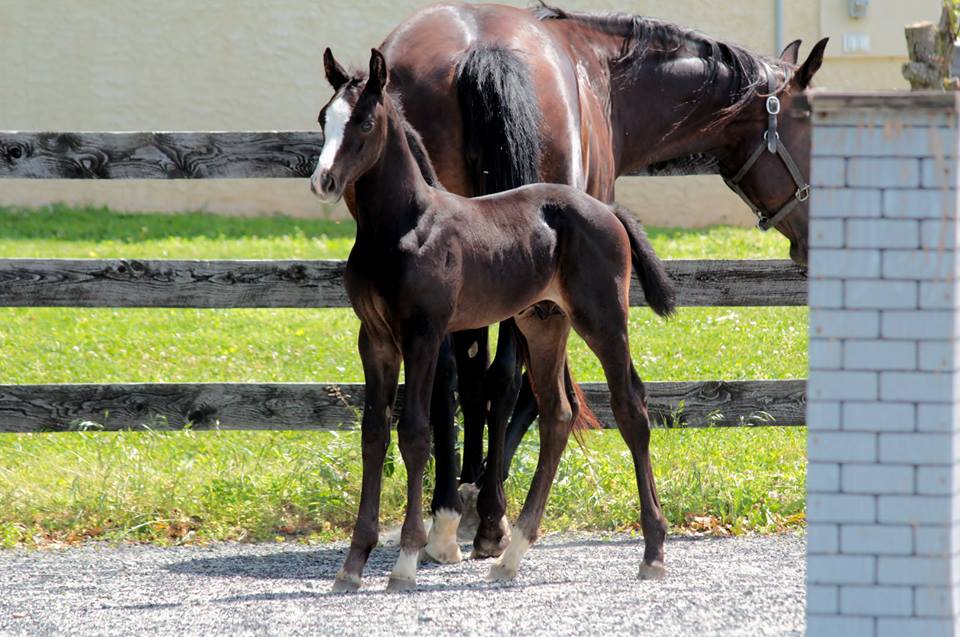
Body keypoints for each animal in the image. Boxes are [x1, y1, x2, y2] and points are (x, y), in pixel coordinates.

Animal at [314, 47, 676, 588]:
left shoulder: (423, 334)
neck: (402, 227)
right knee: (558, 415)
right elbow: (374, 434)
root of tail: (608, 210)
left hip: (604, 319)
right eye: (324, 118)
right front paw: (353, 565)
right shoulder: (374, 339)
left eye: (364, 121)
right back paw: (512, 555)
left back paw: (653, 553)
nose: (324, 181)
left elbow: (415, 432)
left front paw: (406, 561)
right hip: (542, 322)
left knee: (631, 407)